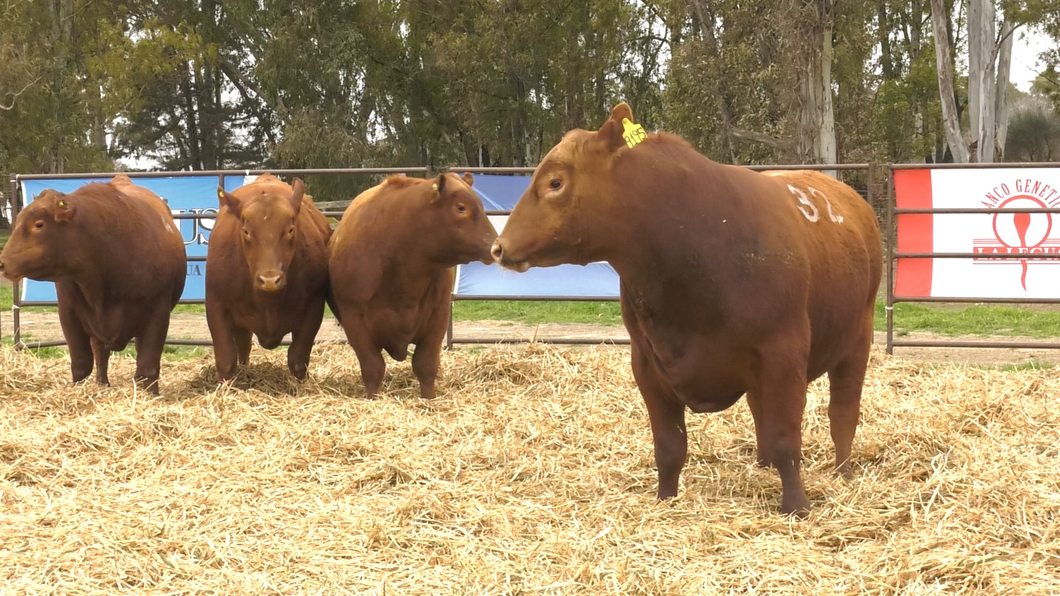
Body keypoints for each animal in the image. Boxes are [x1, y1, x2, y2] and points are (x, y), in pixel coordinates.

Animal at [0, 173, 186, 392]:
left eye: (39, 224)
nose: (2, 263)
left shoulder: (158, 313)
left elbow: (147, 365)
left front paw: (150, 394)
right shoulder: (69, 313)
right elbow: (81, 363)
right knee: (100, 353)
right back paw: (102, 384)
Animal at [205, 170, 330, 379]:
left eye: (290, 230)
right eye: (246, 231)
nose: (269, 279)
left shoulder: (313, 309)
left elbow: (297, 360)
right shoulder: (216, 305)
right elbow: (226, 360)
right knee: (243, 346)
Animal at [328, 173, 498, 400]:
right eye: (461, 207)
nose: (495, 246)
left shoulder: (439, 315)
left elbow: (425, 366)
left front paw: (428, 399)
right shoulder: (354, 319)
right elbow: (373, 368)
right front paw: (372, 399)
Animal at [491, 103, 881, 515]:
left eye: (555, 182)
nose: (499, 247)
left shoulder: (783, 354)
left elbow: (784, 438)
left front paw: (796, 506)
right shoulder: (647, 363)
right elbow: (669, 445)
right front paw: (666, 498)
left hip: (858, 339)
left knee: (843, 411)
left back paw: (843, 472)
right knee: (759, 408)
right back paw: (762, 465)